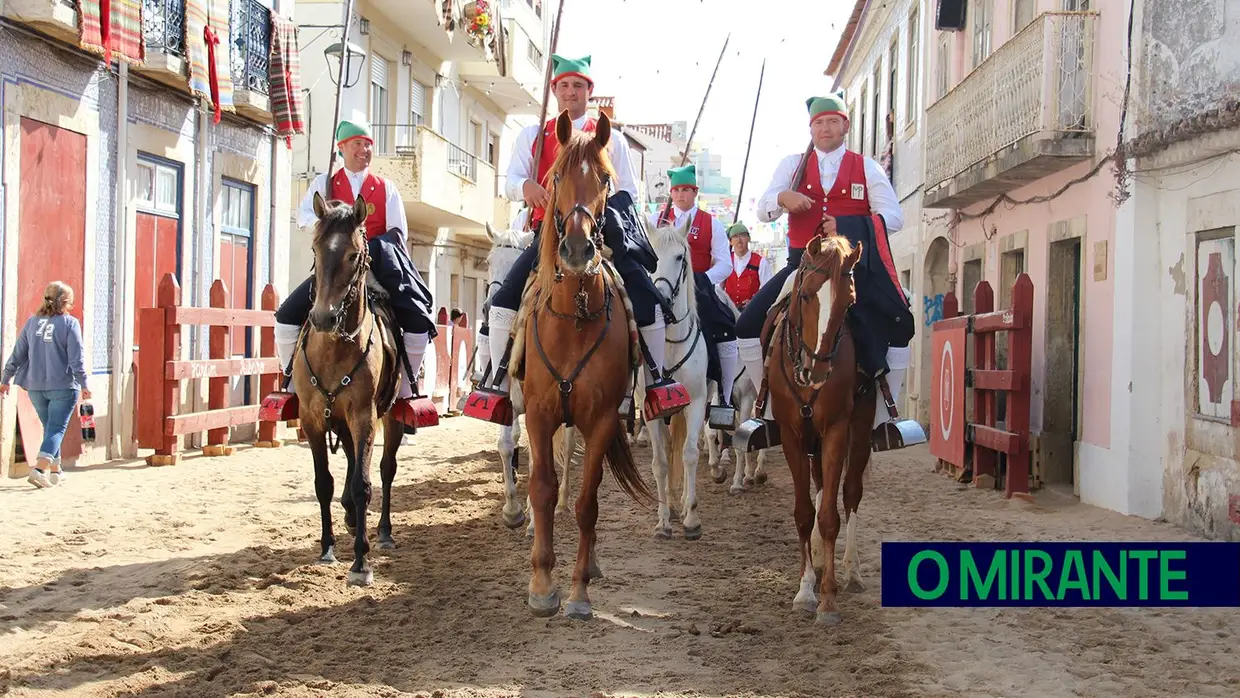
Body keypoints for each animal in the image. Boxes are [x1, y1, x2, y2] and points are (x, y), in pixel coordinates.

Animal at [291, 189, 404, 585]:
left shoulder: (364, 416)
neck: (334, 347)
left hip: (391, 417)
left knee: (385, 469)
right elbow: (322, 482)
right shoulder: (312, 419)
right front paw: (327, 549)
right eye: (315, 249)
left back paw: (382, 532)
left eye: (354, 254)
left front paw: (361, 562)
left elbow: (363, 484)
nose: (323, 318)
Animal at [481, 224, 582, 535]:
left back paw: (561, 503)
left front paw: (535, 520)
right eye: (489, 261)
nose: (489, 306)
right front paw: (512, 510)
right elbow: (507, 443)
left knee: (567, 446)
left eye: (517, 261)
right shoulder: (510, 400)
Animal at [513, 110, 654, 622]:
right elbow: (543, 489)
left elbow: (587, 502)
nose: (576, 250)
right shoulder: (538, 414)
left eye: (606, 181)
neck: (573, 318)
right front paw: (541, 584)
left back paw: (589, 564)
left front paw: (576, 591)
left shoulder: (601, 419)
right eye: (555, 177)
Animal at [758, 231, 877, 624]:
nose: (817, 370)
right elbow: (803, 513)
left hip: (859, 429)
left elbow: (828, 516)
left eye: (849, 301)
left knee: (850, 492)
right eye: (807, 294)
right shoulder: (792, 435)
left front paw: (827, 599)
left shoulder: (837, 430)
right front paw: (805, 588)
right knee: (822, 485)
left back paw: (850, 569)